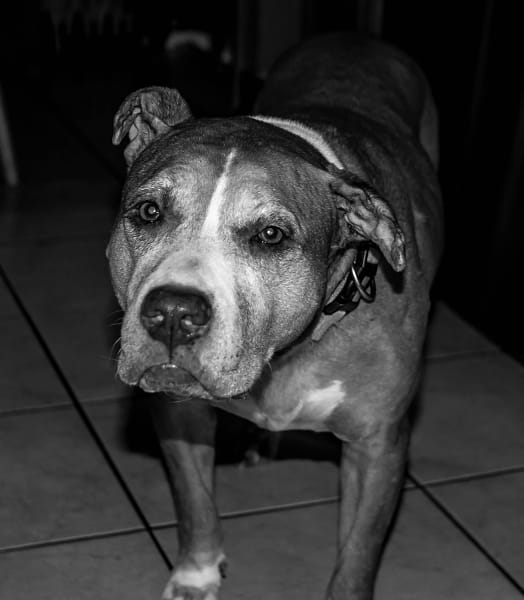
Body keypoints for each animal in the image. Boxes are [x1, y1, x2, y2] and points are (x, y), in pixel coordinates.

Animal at [108, 32, 443, 600]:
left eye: (270, 236)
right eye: (149, 212)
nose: (173, 312)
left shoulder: (378, 447)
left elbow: (357, 556)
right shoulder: (178, 413)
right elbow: (195, 503)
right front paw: (196, 574)